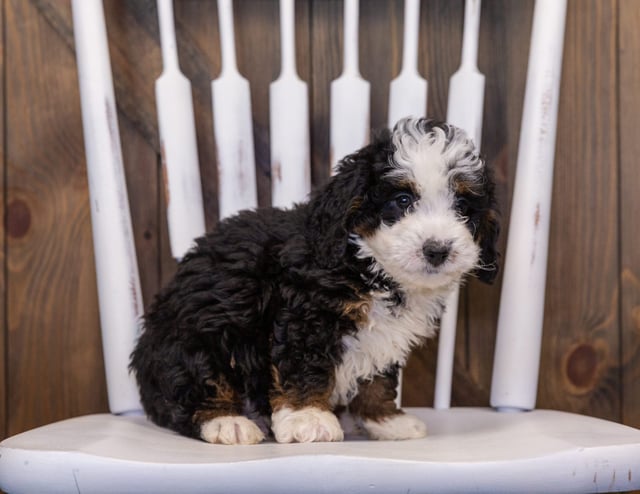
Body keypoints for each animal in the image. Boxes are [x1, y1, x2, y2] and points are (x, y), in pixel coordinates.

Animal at [130, 117, 500, 446]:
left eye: (463, 207)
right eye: (403, 200)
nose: (437, 250)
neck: (366, 262)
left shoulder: (383, 337)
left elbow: (377, 379)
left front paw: (384, 420)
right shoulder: (307, 313)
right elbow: (304, 366)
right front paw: (308, 417)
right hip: (197, 335)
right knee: (194, 388)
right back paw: (227, 421)